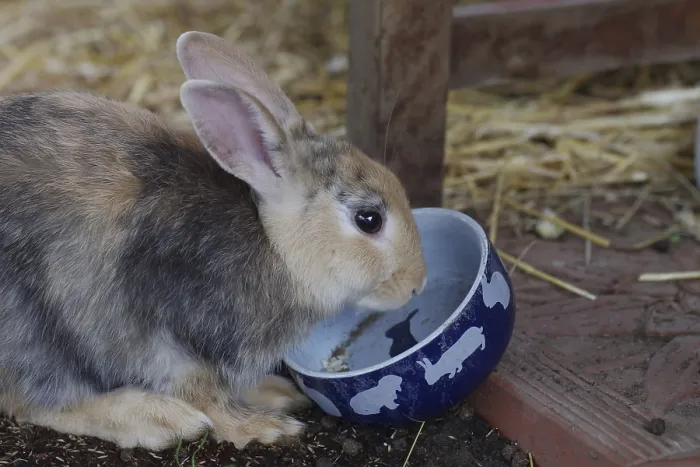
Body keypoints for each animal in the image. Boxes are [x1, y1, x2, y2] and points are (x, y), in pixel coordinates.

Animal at [0, 31, 428, 451]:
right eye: (369, 219)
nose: (417, 283)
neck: (275, 247)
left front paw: (275, 393)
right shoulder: (167, 336)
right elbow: (205, 395)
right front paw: (263, 428)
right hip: (34, 335)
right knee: (34, 402)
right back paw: (160, 420)